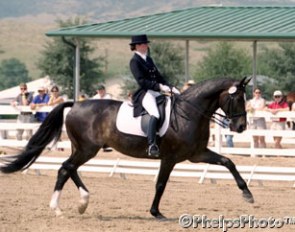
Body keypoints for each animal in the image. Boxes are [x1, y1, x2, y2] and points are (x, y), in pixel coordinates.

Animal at [0, 77, 254, 219]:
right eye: (237, 99)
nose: (241, 127)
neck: (189, 113)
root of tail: (76, 105)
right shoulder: (170, 158)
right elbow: (160, 184)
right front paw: (156, 212)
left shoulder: (196, 154)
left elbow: (228, 162)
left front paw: (247, 194)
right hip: (86, 149)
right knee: (65, 168)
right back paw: (59, 208)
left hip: (83, 148)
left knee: (68, 168)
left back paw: (82, 203)